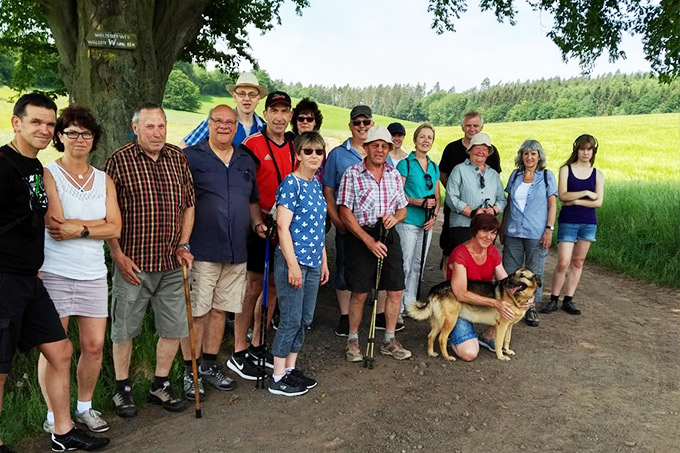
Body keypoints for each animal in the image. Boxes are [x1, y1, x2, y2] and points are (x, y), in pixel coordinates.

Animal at [406, 268, 540, 360]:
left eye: (522, 275)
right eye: (513, 275)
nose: (509, 282)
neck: (517, 298)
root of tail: (435, 289)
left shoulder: (510, 325)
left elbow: (507, 339)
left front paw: (507, 350)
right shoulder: (502, 325)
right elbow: (500, 342)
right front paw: (501, 356)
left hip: (439, 322)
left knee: (431, 336)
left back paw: (431, 353)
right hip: (451, 320)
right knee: (441, 338)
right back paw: (447, 357)